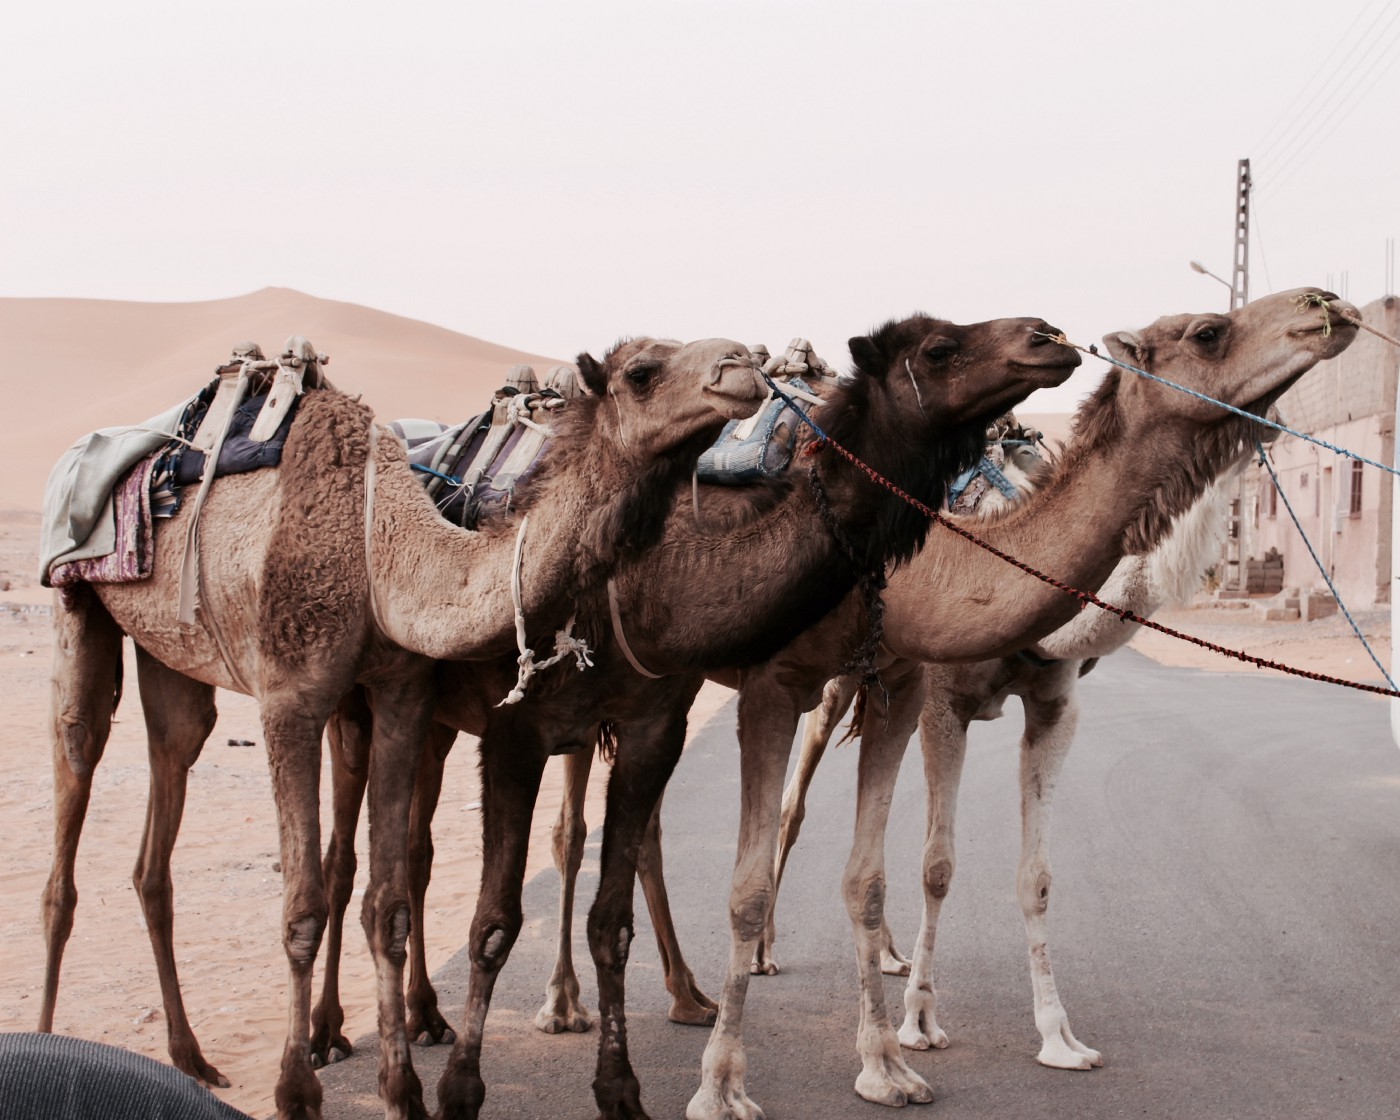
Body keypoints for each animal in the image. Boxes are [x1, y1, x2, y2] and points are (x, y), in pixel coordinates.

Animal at [37, 335, 764, 1120]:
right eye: (641, 373)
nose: (743, 366)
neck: (379, 551)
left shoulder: (400, 693)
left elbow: (385, 907)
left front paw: (403, 1090)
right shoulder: (291, 699)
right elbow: (301, 908)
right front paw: (297, 1090)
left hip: (174, 659)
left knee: (164, 806)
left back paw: (192, 1057)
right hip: (78, 605)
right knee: (72, 787)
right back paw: (48, 1038)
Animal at [310, 313, 1082, 1120]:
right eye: (938, 348)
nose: (1048, 335)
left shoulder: (665, 717)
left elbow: (612, 913)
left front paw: (623, 1088)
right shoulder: (520, 732)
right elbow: (495, 921)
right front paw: (463, 1092)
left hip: (449, 722)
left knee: (430, 851)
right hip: (363, 706)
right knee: (348, 858)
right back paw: (337, 1034)